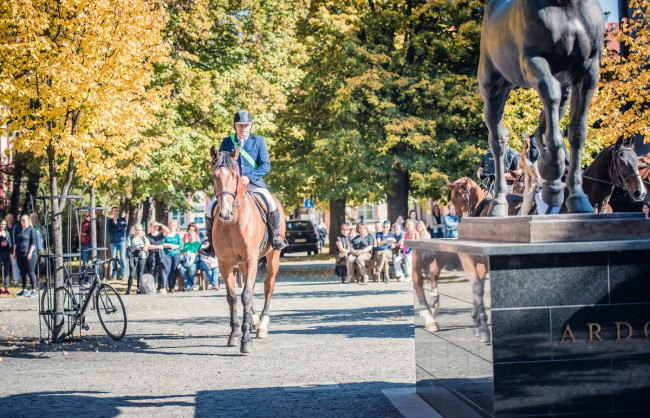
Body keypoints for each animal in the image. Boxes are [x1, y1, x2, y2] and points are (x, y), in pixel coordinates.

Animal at [210, 147, 286, 352]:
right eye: (214, 176)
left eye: (235, 175)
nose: (225, 213)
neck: (233, 221)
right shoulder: (225, 263)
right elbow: (233, 297)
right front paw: (235, 334)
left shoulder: (252, 259)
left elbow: (246, 295)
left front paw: (245, 340)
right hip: (243, 264)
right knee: (249, 287)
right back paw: (254, 320)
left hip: (272, 258)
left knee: (268, 286)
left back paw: (262, 325)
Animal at [476, 0, 604, 216]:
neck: (567, 7)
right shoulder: (531, 59)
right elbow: (549, 90)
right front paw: (552, 170)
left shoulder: (589, 70)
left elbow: (577, 131)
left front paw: (577, 197)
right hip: (492, 86)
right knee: (497, 141)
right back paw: (499, 203)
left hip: (565, 85)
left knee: (543, 124)